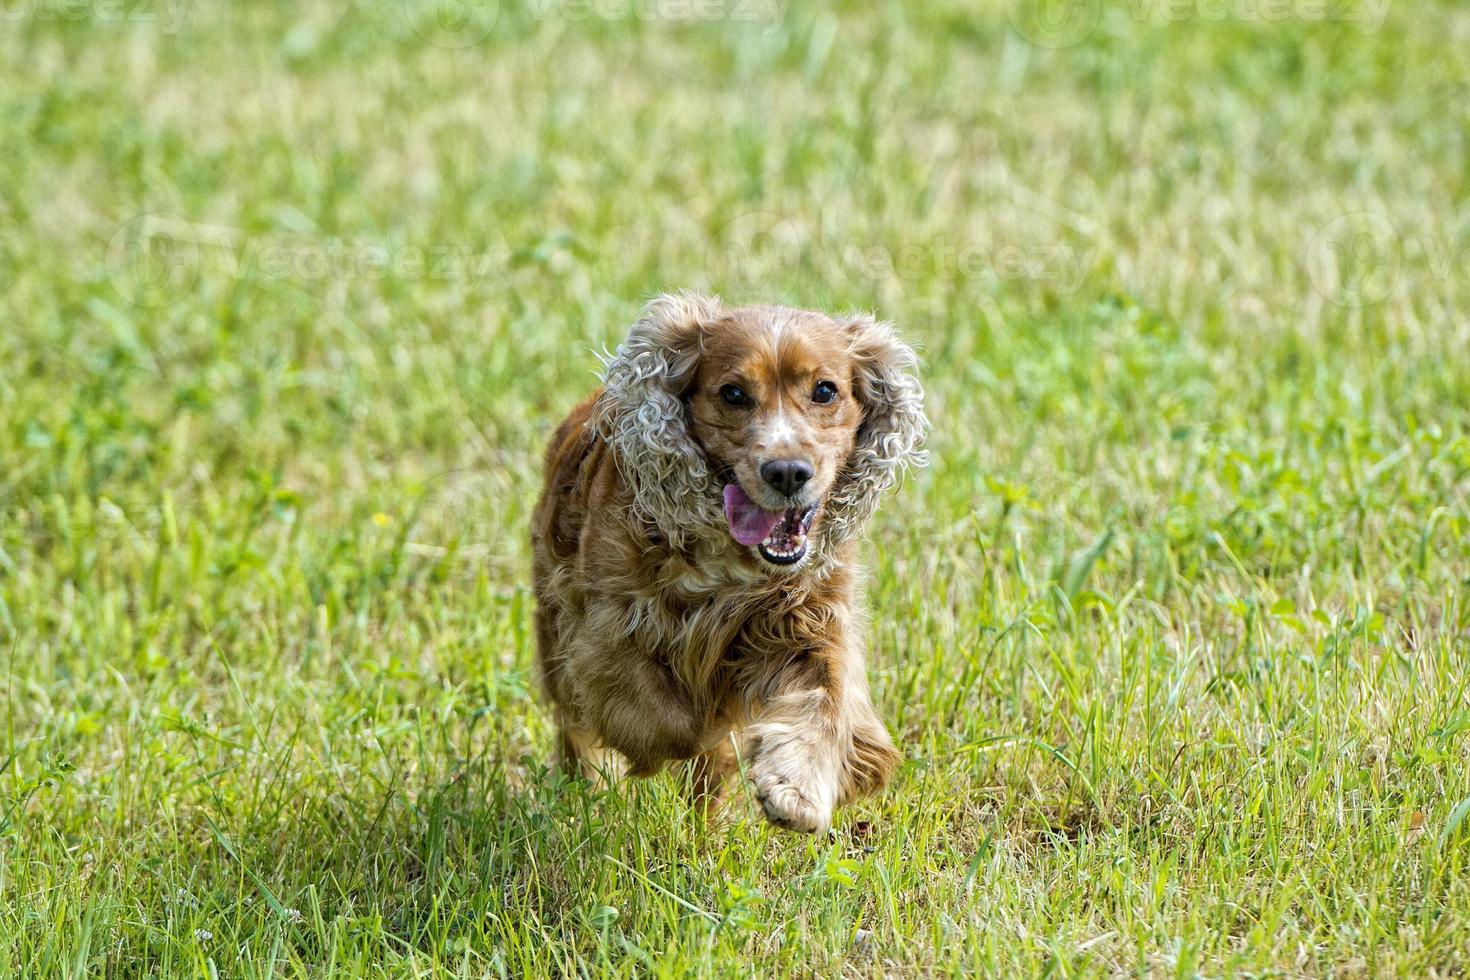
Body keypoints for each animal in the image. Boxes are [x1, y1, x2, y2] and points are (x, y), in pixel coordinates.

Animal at [532, 293, 929, 834]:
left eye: (825, 391)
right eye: (734, 394)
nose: (787, 472)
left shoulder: (812, 619)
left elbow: (826, 699)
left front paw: (795, 789)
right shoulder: (606, 637)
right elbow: (674, 724)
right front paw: (716, 732)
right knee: (575, 731)